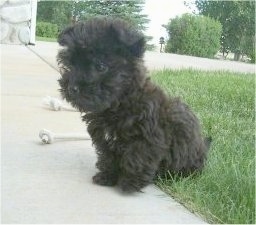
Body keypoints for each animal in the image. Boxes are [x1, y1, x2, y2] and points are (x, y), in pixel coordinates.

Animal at [56, 17, 210, 192]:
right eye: (71, 63)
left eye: (100, 66)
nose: (72, 87)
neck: (119, 105)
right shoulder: (104, 139)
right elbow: (108, 157)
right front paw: (107, 176)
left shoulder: (148, 139)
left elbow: (136, 159)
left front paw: (129, 183)